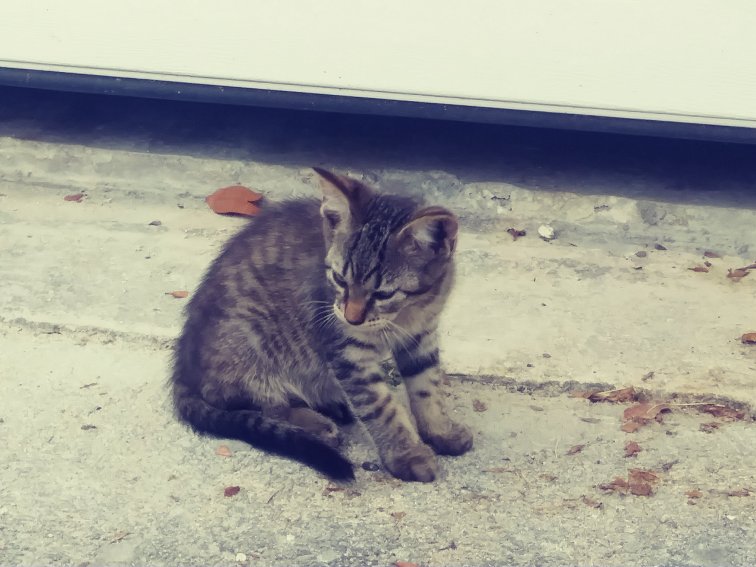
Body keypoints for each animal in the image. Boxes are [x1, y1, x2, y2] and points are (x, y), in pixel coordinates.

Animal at [171, 167, 473, 482]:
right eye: (339, 280)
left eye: (383, 294)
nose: (351, 318)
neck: (407, 313)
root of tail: (183, 365)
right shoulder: (346, 352)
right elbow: (380, 406)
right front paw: (408, 454)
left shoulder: (421, 336)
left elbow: (427, 385)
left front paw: (440, 430)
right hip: (250, 342)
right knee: (253, 403)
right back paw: (315, 423)